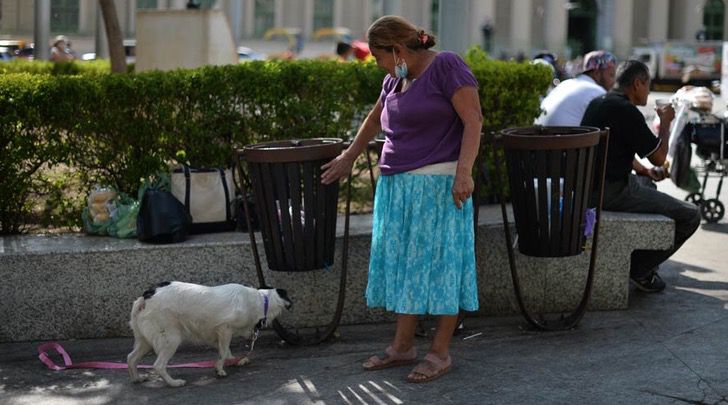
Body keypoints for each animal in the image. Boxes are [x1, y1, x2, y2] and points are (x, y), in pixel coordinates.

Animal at [128, 280, 290, 386]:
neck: (261, 300)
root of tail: (146, 296)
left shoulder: (216, 336)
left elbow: (225, 351)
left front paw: (233, 360)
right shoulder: (225, 329)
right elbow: (223, 352)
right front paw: (220, 369)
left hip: (145, 341)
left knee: (131, 358)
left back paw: (137, 378)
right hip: (171, 339)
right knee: (158, 365)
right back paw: (174, 382)